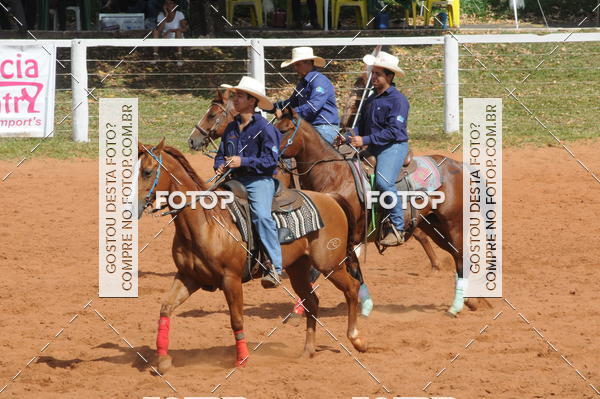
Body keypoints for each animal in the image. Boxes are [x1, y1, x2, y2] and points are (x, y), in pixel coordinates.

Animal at [138, 141, 368, 376]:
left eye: (147, 172)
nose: (133, 205)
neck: (206, 222)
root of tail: (330, 198)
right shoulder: (188, 277)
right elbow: (166, 307)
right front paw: (163, 360)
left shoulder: (231, 279)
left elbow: (237, 319)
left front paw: (242, 359)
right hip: (298, 268)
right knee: (312, 302)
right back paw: (308, 351)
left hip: (330, 264)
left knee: (352, 287)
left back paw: (356, 339)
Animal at [274, 108, 482, 318]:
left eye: (283, 130)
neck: (334, 176)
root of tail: (457, 165)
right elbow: (356, 273)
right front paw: (366, 307)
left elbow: (317, 272)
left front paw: (298, 309)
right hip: (434, 227)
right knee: (456, 256)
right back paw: (471, 301)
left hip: (454, 224)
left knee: (461, 258)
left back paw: (456, 306)